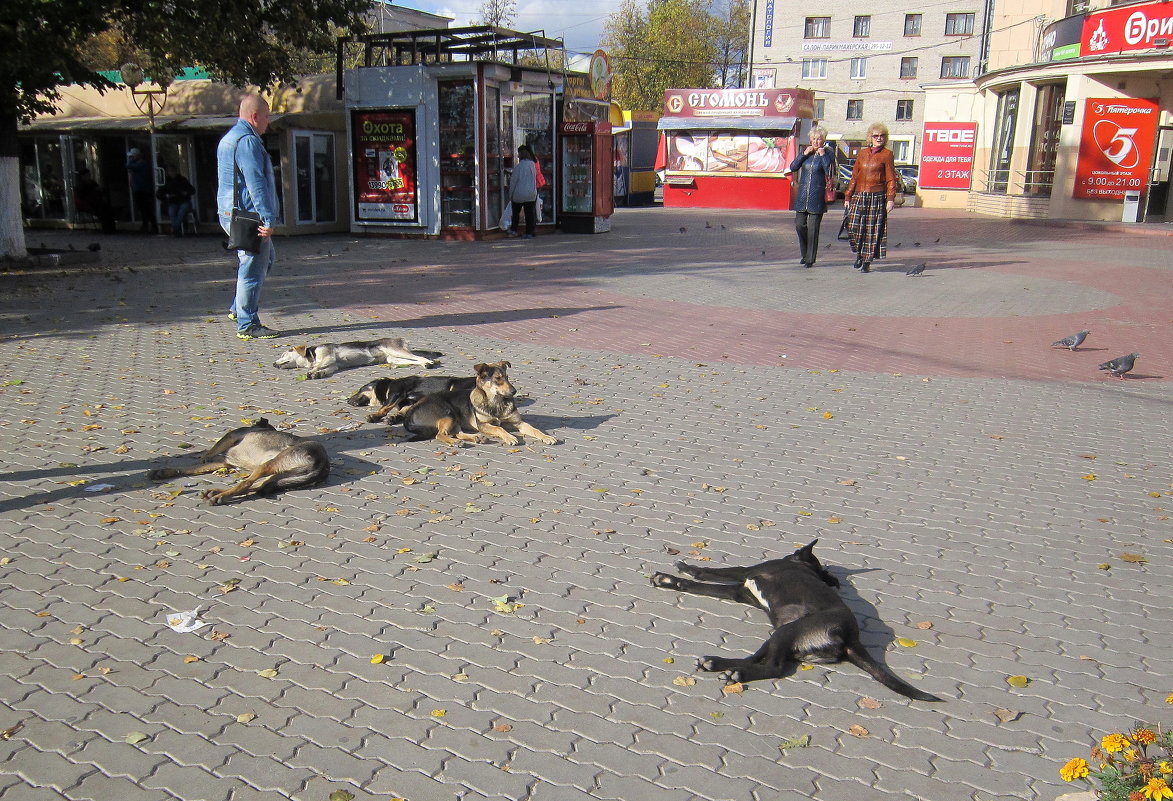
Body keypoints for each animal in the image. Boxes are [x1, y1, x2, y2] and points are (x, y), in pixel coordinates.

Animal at [148, 417, 330, 504]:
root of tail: (324, 465)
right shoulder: (225, 463)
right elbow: (192, 468)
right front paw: (164, 472)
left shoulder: (231, 436)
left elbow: (205, 456)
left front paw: (203, 456)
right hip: (278, 475)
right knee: (255, 486)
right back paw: (215, 492)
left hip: (268, 465)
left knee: (246, 484)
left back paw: (219, 497)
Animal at [347, 375, 476, 426]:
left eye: (360, 389)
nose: (348, 400)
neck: (388, 386)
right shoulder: (409, 403)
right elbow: (401, 411)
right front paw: (393, 418)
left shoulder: (397, 392)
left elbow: (385, 407)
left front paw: (374, 416)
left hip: (455, 386)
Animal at [398, 361, 558, 447]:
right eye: (498, 378)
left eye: (507, 377)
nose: (514, 391)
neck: (496, 403)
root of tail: (412, 408)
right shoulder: (484, 425)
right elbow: (499, 428)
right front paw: (510, 437)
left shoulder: (518, 422)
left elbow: (535, 429)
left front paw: (546, 437)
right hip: (448, 414)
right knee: (440, 434)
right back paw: (455, 442)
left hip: (454, 419)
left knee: (456, 433)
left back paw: (476, 438)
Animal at [652, 539, 943, 703]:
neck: (803, 566)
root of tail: (851, 638)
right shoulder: (740, 592)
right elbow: (699, 586)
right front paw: (671, 581)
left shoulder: (748, 571)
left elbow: (708, 572)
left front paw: (683, 569)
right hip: (781, 636)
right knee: (759, 659)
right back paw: (720, 664)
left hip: (786, 631)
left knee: (775, 667)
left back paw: (733, 671)